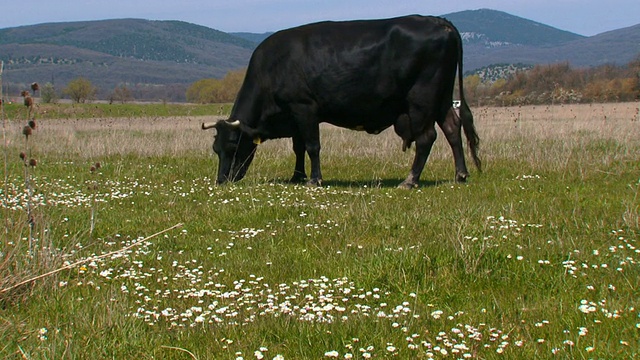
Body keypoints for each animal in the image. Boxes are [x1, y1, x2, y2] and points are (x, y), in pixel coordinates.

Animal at [202, 14, 478, 188]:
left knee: (426, 138)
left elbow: (312, 146)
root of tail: (439, 21)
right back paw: (461, 174)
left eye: (233, 146)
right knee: (453, 129)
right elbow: (298, 148)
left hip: (421, 100)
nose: (222, 180)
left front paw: (315, 179)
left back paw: (410, 180)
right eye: (216, 149)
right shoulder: (294, 117)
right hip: (441, 99)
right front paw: (296, 176)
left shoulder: (304, 108)